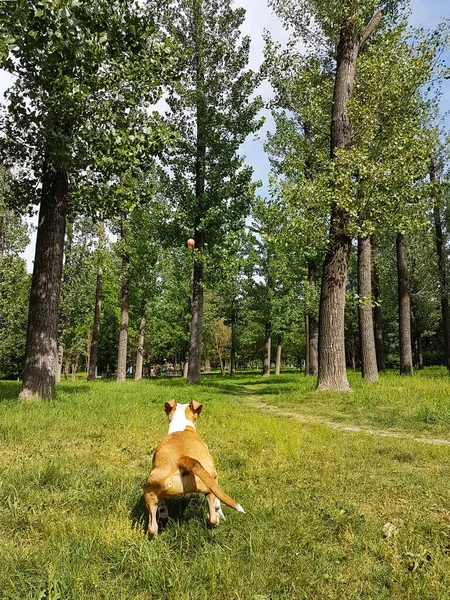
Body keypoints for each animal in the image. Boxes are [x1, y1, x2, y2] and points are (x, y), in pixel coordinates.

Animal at [144, 398, 244, 540]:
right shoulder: (214, 478)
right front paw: (219, 511)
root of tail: (183, 458)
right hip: (209, 485)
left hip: (150, 492)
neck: (182, 426)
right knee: (212, 517)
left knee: (152, 528)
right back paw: (216, 518)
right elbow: (218, 501)